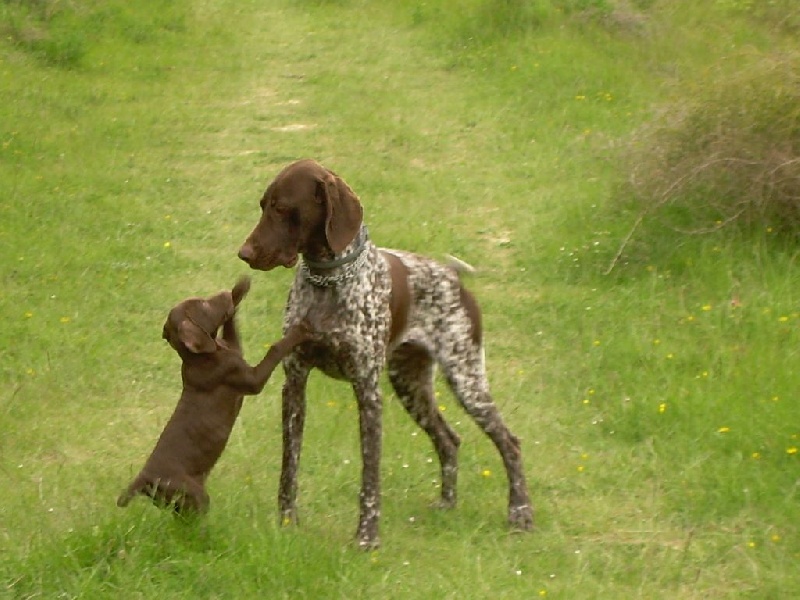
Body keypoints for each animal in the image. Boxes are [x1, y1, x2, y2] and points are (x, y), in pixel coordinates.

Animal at [119, 278, 312, 516]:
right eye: (203, 304)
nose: (223, 292)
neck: (200, 357)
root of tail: (143, 480)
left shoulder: (233, 345)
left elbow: (231, 326)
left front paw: (240, 287)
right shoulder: (249, 378)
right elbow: (275, 349)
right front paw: (300, 330)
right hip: (194, 495)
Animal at [239, 159, 536, 548]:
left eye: (281, 207)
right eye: (263, 204)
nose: (244, 253)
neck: (328, 283)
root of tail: (454, 278)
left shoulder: (367, 391)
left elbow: (370, 475)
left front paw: (367, 537)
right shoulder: (294, 384)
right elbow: (290, 465)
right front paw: (287, 522)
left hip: (466, 379)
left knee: (509, 442)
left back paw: (520, 514)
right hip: (410, 385)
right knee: (449, 440)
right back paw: (447, 503)